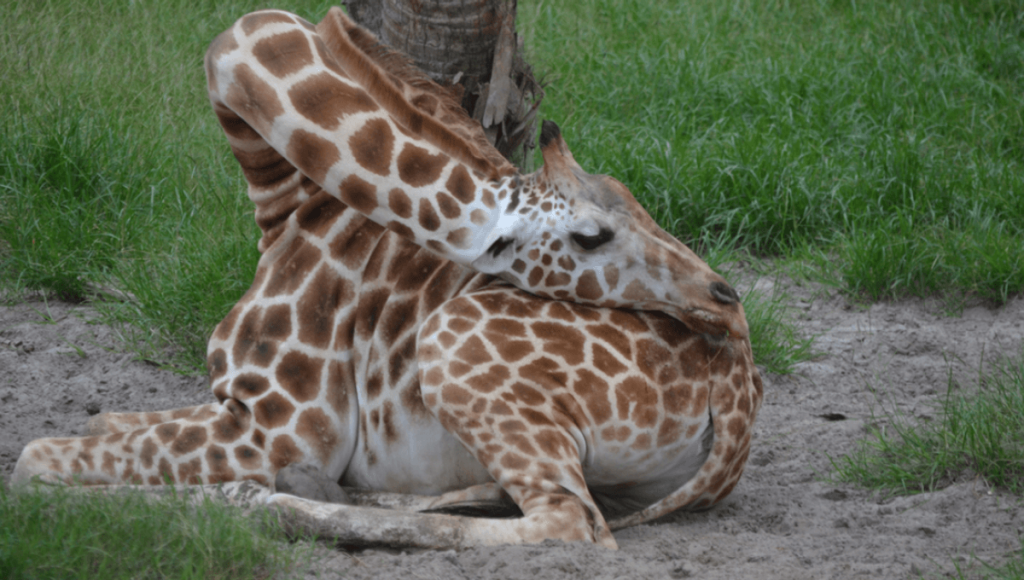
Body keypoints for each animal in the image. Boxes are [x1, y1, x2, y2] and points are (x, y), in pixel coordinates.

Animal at [8, 6, 761, 549]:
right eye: (593, 234)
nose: (724, 300)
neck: (282, 203)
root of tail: (738, 403)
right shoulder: (237, 407)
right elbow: (96, 420)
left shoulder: (276, 427)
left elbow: (32, 458)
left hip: (449, 341)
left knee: (569, 525)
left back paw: (263, 502)